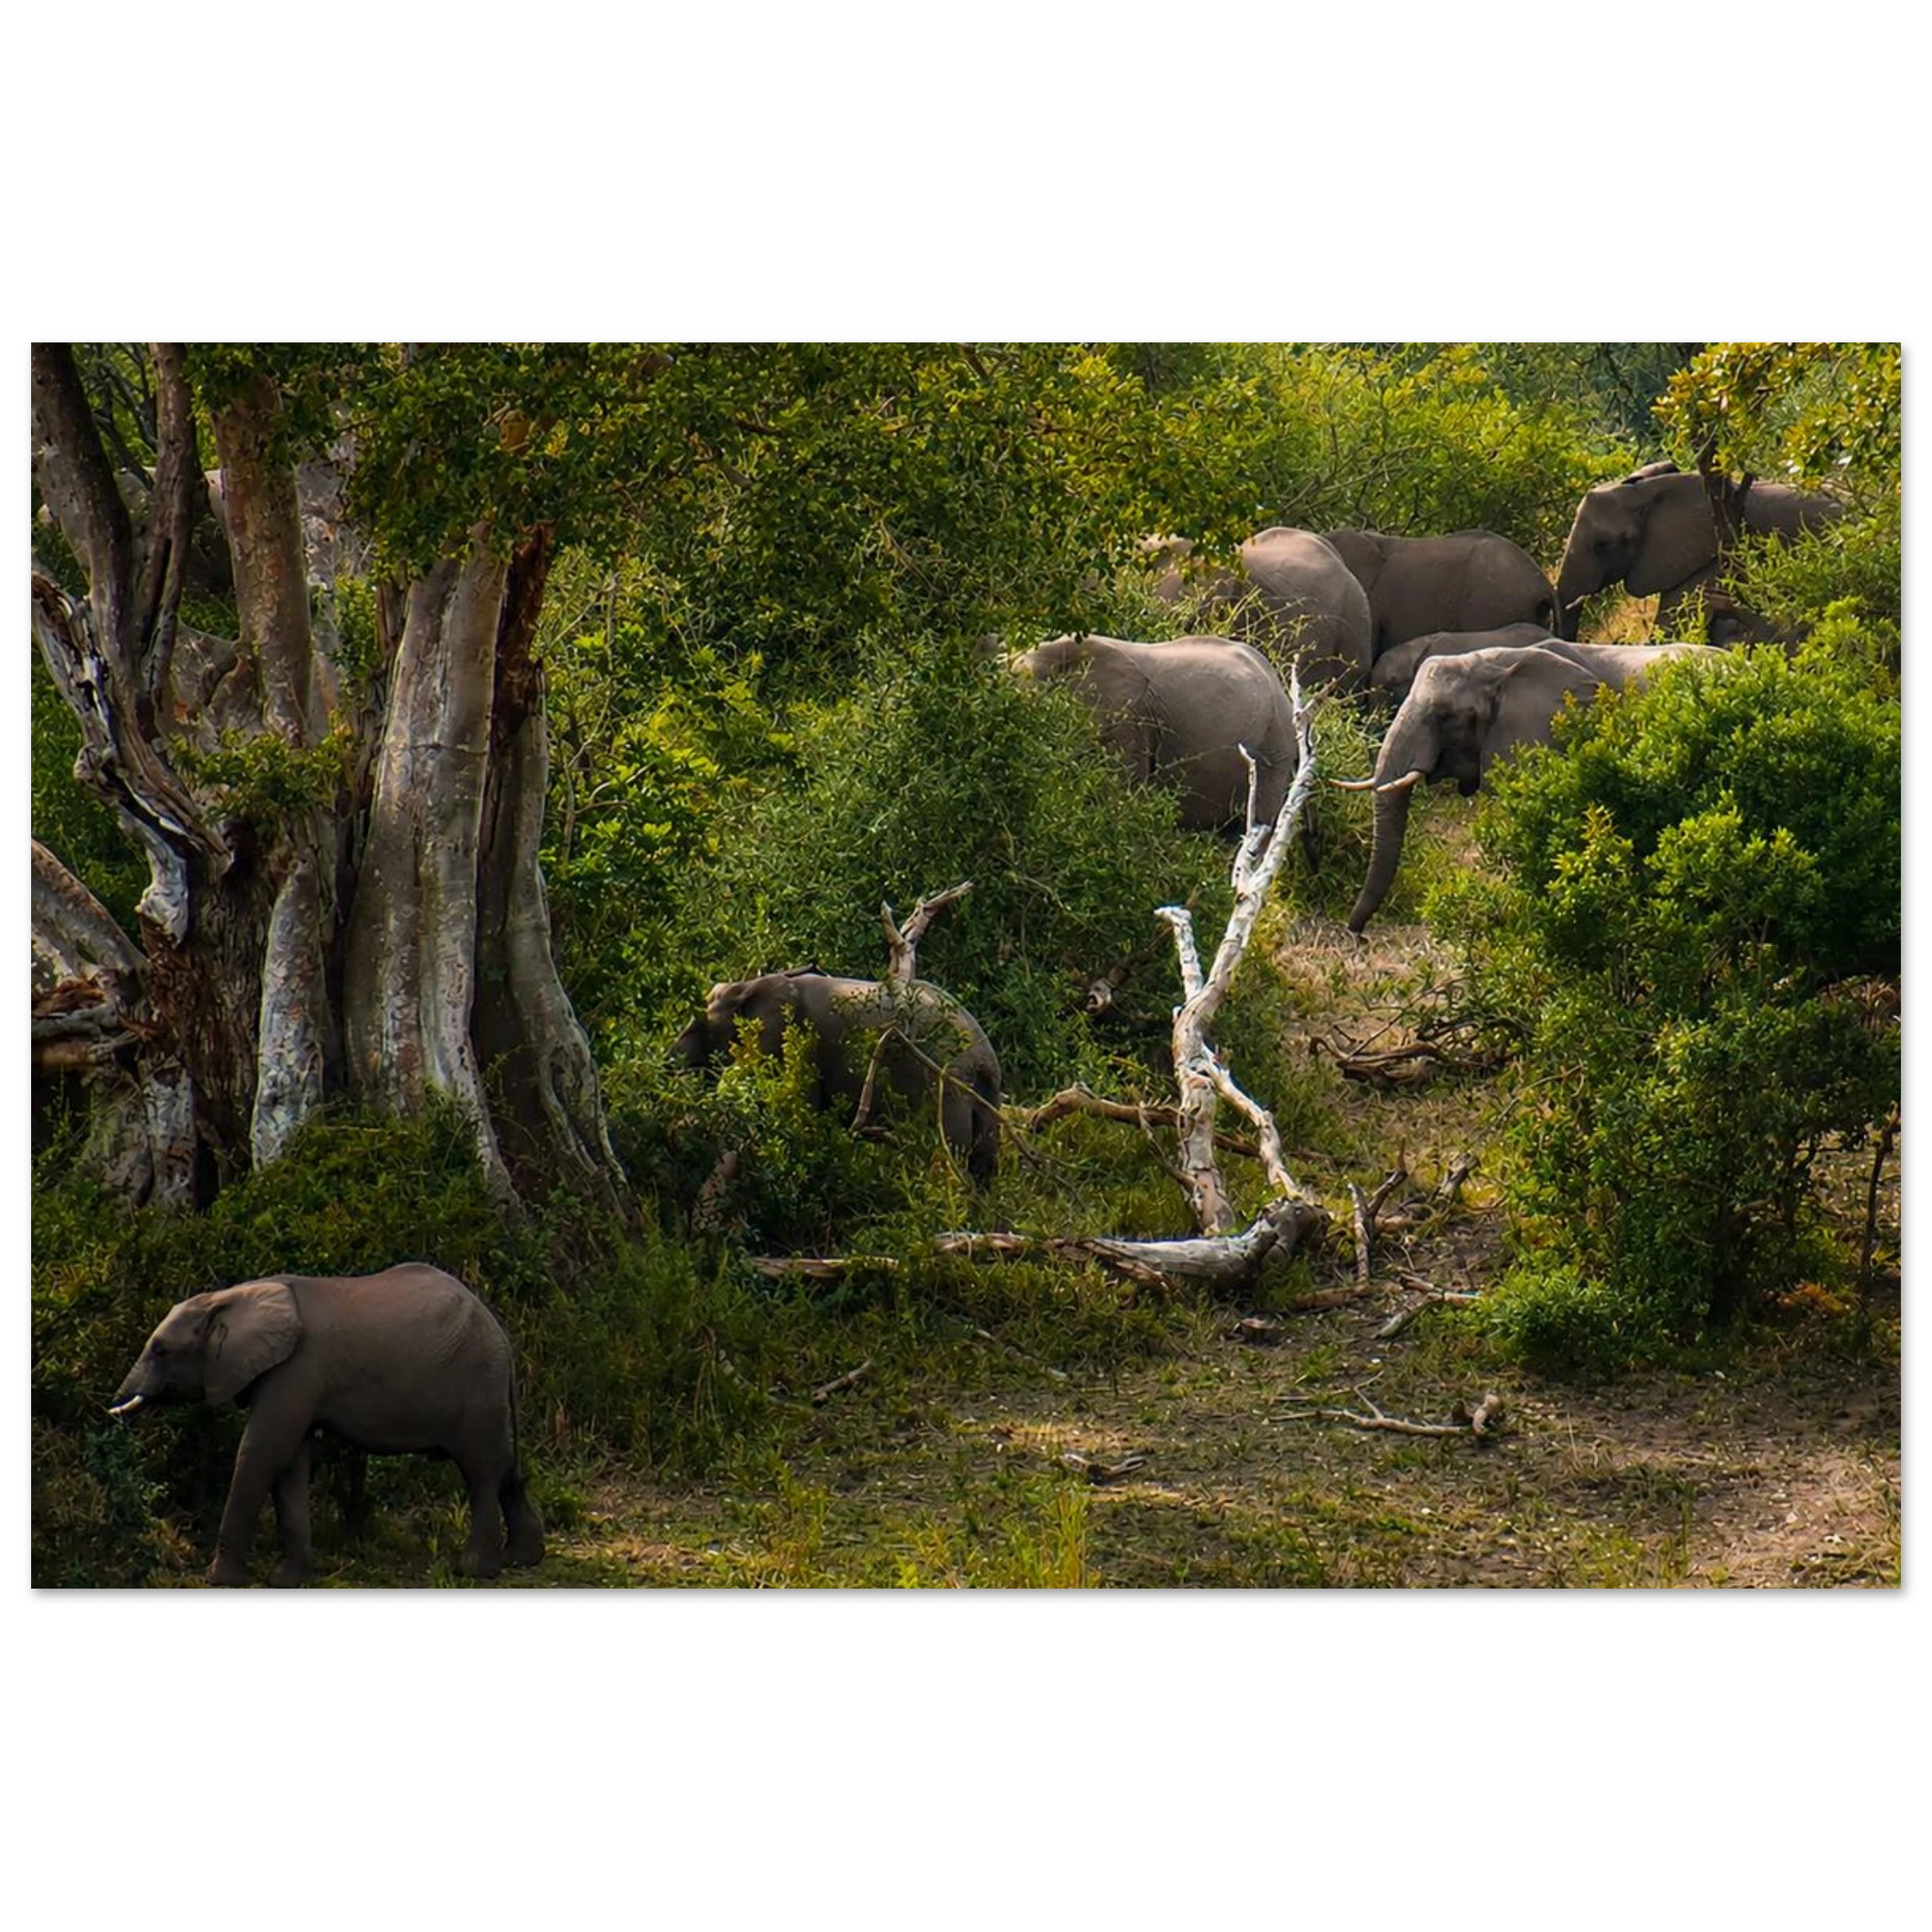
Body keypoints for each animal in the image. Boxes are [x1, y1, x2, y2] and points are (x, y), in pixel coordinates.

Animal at [108, 1263, 545, 1588]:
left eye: (160, 1350)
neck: (229, 1297)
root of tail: (500, 1332)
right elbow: (292, 1464)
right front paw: (289, 1580)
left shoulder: (296, 1369)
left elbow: (263, 1451)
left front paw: (219, 1580)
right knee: (506, 1468)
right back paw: (522, 1559)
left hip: (476, 1382)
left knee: (481, 1473)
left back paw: (473, 1570)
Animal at [671, 970, 1004, 1185]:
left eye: (701, 1027)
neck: (750, 984)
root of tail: (984, 1056)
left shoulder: (803, 1042)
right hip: (984, 1091)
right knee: (983, 1160)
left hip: (946, 1081)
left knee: (950, 1154)